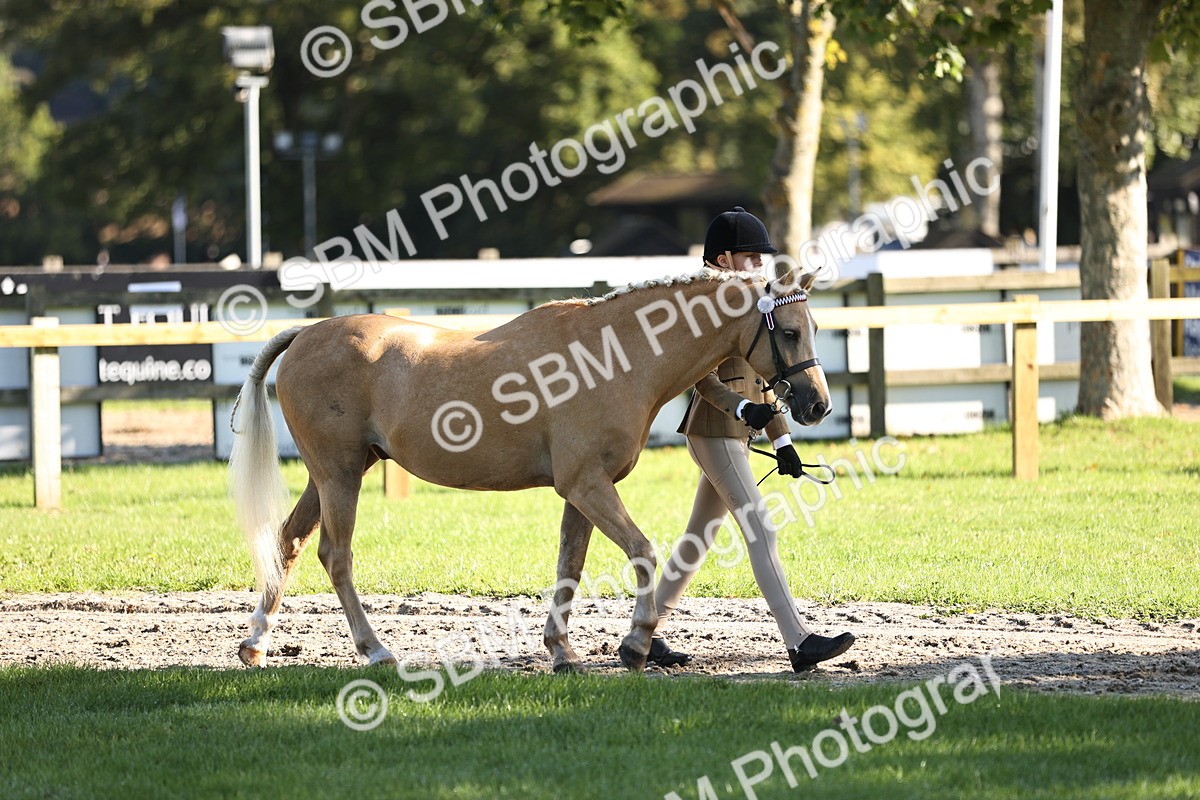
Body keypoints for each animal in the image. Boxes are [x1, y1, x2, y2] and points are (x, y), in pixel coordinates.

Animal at [229, 266, 830, 673]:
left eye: (813, 326)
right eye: (789, 331)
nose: (817, 404)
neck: (616, 355)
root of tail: (305, 334)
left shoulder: (584, 491)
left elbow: (571, 565)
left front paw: (563, 652)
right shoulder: (586, 484)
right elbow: (642, 552)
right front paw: (635, 645)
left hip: (329, 476)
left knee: (288, 542)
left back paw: (256, 644)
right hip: (339, 476)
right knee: (335, 555)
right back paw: (376, 651)